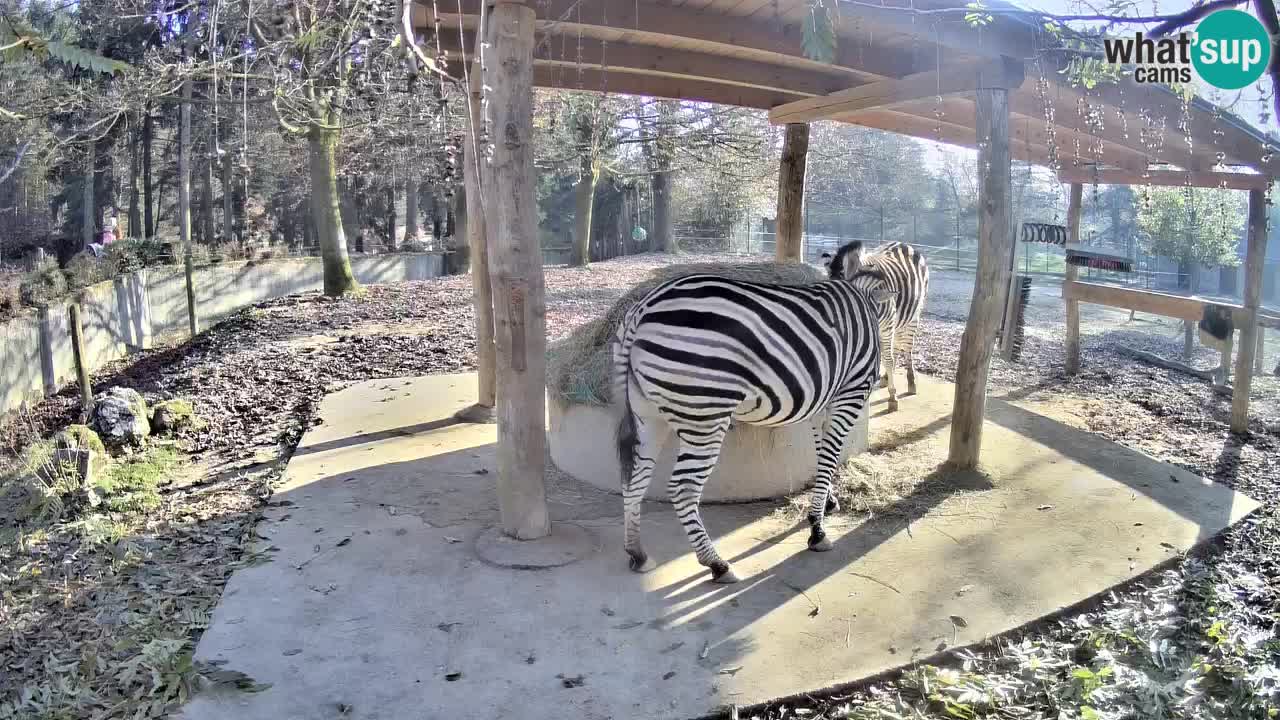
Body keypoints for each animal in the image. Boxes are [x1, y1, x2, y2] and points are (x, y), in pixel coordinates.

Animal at [606, 260, 890, 586]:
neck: (865, 302)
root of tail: (642, 309)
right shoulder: (850, 394)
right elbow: (830, 456)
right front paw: (817, 531)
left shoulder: (822, 403)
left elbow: (822, 458)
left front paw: (827, 504)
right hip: (704, 415)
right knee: (683, 488)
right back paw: (716, 564)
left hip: (648, 414)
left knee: (635, 477)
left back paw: (637, 552)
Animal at [819, 240, 931, 409]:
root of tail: (901, 244)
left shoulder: (886, 326)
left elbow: (887, 359)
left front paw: (892, 397)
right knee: (896, 347)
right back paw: (885, 377)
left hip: (913, 316)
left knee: (905, 347)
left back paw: (911, 383)